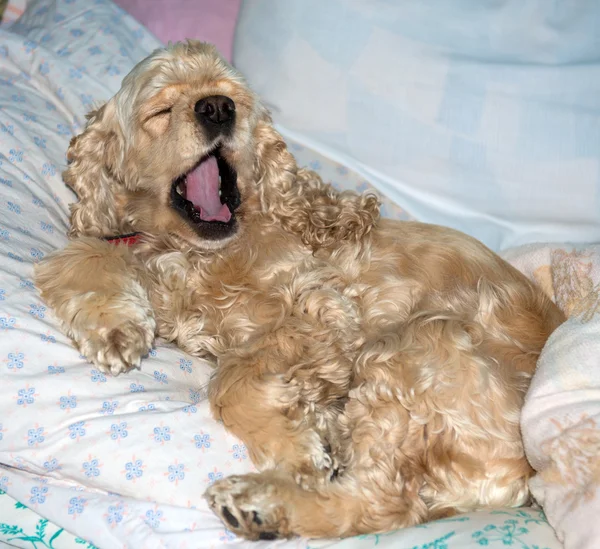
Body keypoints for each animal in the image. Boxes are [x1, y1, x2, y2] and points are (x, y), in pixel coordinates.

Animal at [35, 40, 564, 536]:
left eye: (233, 99)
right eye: (161, 110)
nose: (216, 108)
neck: (199, 252)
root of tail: (520, 483)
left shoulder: (321, 314)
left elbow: (234, 378)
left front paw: (296, 449)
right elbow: (83, 255)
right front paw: (114, 330)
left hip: (416, 347)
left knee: (380, 504)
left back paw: (259, 503)